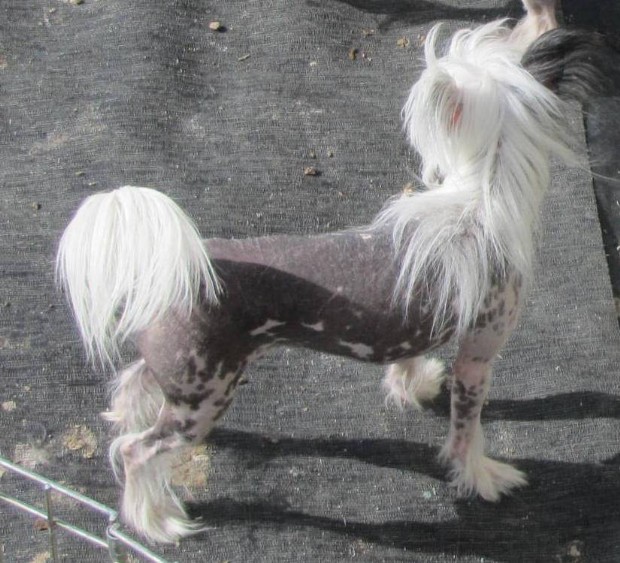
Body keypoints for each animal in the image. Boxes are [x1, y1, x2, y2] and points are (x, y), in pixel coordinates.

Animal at [56, 21, 605, 543]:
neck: (477, 200)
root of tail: (184, 268)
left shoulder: (411, 325)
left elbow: (405, 357)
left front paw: (413, 385)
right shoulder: (477, 357)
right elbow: (467, 430)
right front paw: (480, 475)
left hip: (184, 374)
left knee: (132, 383)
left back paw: (128, 424)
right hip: (205, 400)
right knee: (136, 451)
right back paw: (155, 519)